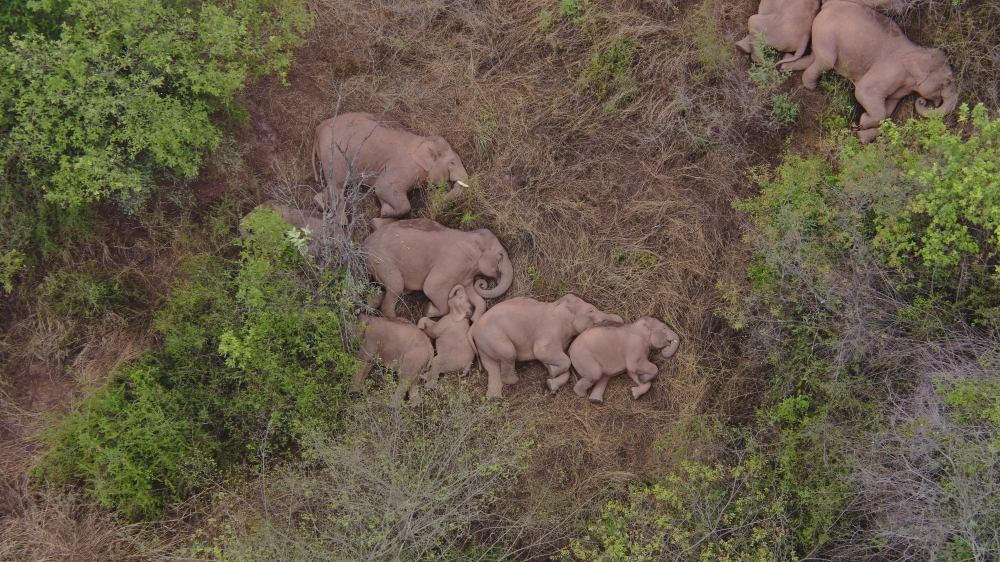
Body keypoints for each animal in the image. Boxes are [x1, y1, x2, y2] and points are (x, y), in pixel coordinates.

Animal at [312, 112, 470, 228]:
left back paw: (319, 203)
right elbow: (384, 189)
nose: (437, 196)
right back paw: (343, 222)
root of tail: (318, 129)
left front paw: (378, 220)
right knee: (337, 185)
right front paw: (384, 212)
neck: (423, 140)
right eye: (452, 163)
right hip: (334, 155)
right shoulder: (402, 168)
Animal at [364, 218, 513, 322]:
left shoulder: (466, 274)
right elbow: (431, 286)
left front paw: (474, 319)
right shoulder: (453, 262)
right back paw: (399, 320)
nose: (484, 283)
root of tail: (365, 243)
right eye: (500, 255)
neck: (467, 235)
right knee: (396, 285)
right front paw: (428, 310)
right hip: (382, 259)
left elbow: (474, 295)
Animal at [467, 294, 624, 398]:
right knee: (508, 353)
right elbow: (544, 353)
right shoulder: (550, 330)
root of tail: (473, 327)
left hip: (484, 344)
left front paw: (550, 379)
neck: (557, 305)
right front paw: (552, 372)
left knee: (491, 367)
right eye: (591, 310)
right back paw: (512, 380)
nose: (621, 320)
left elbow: (552, 360)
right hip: (492, 335)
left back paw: (494, 397)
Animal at [552, 317, 680, 405]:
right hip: (583, 357)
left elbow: (631, 372)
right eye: (664, 328)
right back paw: (582, 394)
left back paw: (595, 400)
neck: (637, 325)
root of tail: (568, 350)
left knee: (603, 377)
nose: (666, 347)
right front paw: (643, 379)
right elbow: (635, 367)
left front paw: (637, 388)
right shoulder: (636, 345)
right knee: (595, 374)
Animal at [781, 0, 957, 143]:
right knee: (825, 60)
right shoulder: (890, 71)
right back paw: (810, 86)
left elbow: (888, 110)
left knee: (815, 56)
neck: (919, 51)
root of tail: (828, 5)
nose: (922, 101)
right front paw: (863, 121)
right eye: (947, 81)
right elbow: (863, 92)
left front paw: (862, 135)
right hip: (827, 30)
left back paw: (785, 66)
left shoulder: (899, 89)